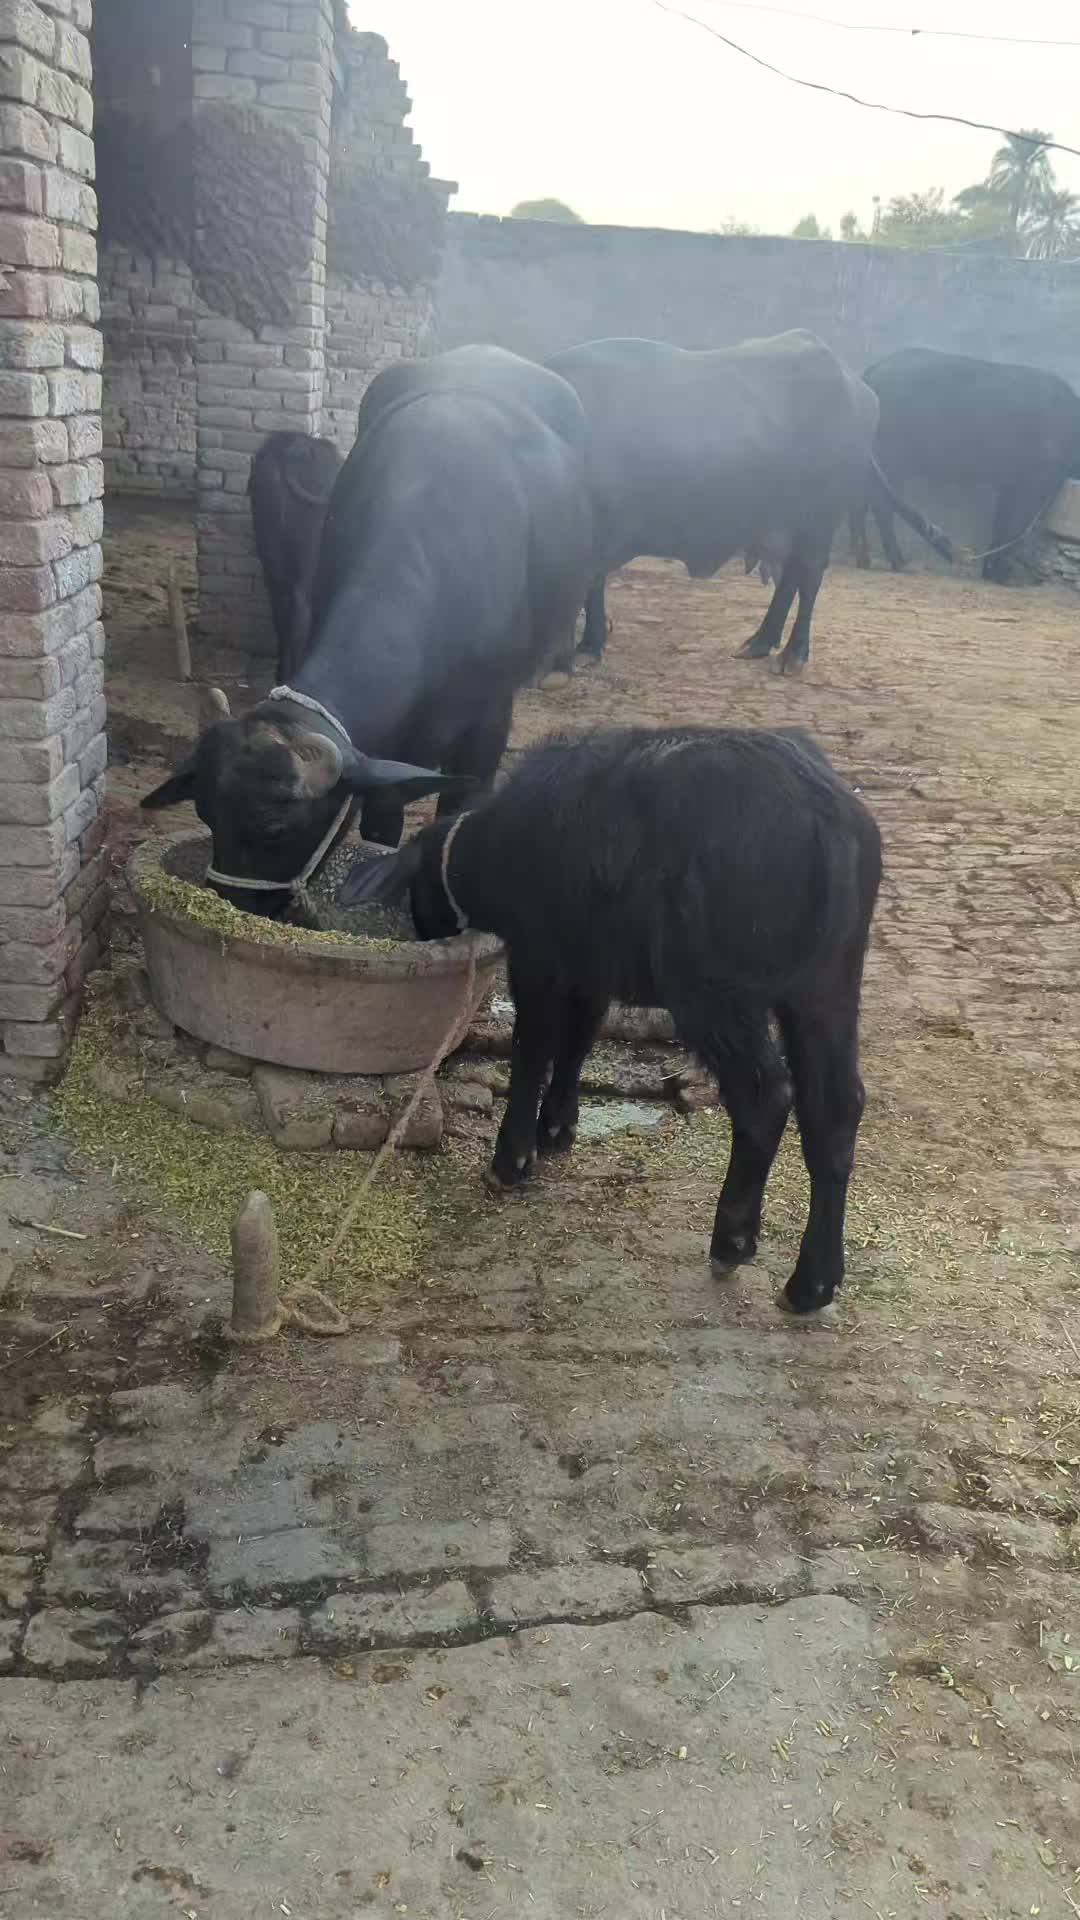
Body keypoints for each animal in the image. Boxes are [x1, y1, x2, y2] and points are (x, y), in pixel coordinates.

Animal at [341, 723, 881, 1314]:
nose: (425, 929)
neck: (499, 847)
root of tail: (825, 817)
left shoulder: (538, 959)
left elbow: (533, 1048)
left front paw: (513, 1158)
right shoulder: (590, 968)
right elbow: (580, 1036)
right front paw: (557, 1127)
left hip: (715, 995)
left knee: (765, 1098)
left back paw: (733, 1241)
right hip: (825, 989)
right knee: (836, 1108)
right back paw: (813, 1283)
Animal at [547, 331, 951, 673]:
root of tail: (858, 389)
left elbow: (588, 585)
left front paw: (581, 649)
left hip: (819, 517)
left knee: (809, 574)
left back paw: (794, 653)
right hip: (788, 523)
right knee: (790, 576)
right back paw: (760, 641)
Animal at [851, 347, 1080, 583]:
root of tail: (872, 373)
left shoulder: (1009, 486)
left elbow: (1001, 524)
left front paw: (990, 572)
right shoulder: (1033, 485)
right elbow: (1016, 528)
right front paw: (1002, 575)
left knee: (861, 500)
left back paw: (863, 559)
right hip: (893, 458)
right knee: (882, 505)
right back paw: (899, 562)